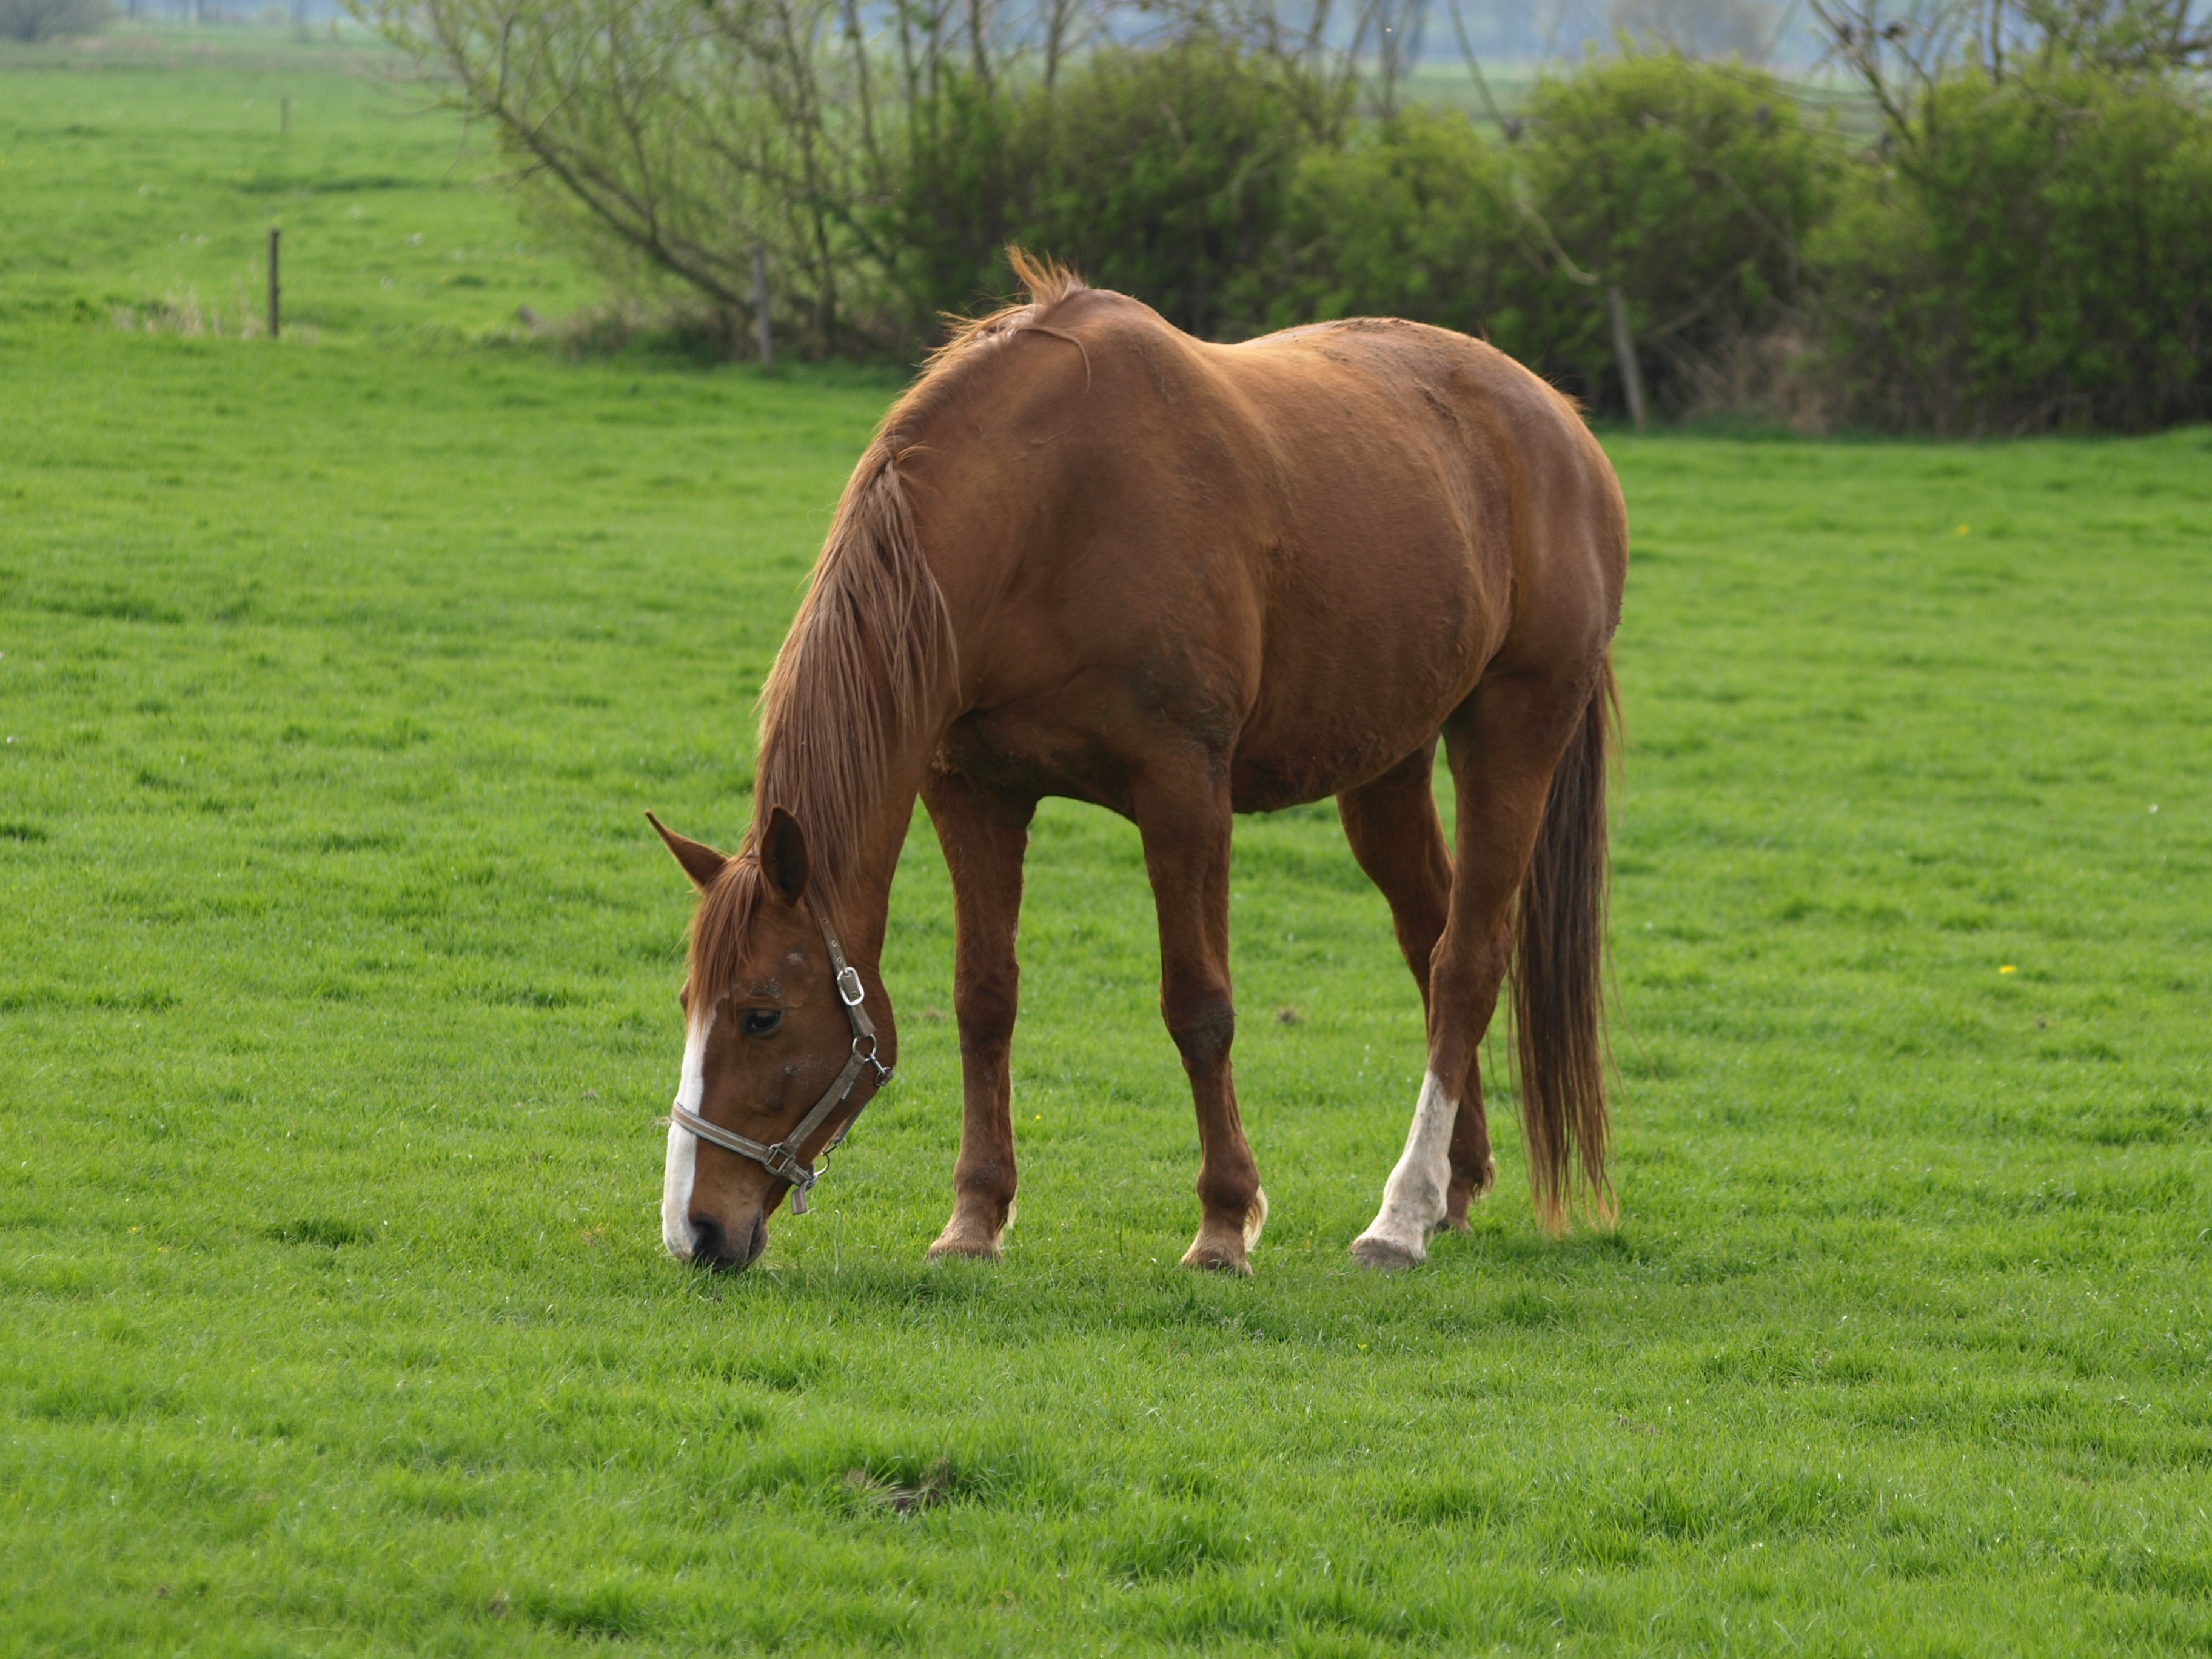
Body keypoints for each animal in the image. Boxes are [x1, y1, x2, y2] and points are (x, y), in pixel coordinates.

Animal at [646, 253, 1619, 1282]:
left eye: (761, 1015)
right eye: (689, 1003)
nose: (695, 1231)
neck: (1046, 512)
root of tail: (1560, 421)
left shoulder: (1183, 789)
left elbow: (1200, 1007)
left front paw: (1225, 1223)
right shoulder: (973, 792)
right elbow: (983, 1001)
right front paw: (975, 1218)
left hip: (1514, 730)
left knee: (1468, 961)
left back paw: (1400, 1217)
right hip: (1388, 766)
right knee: (1429, 943)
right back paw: (1453, 1189)